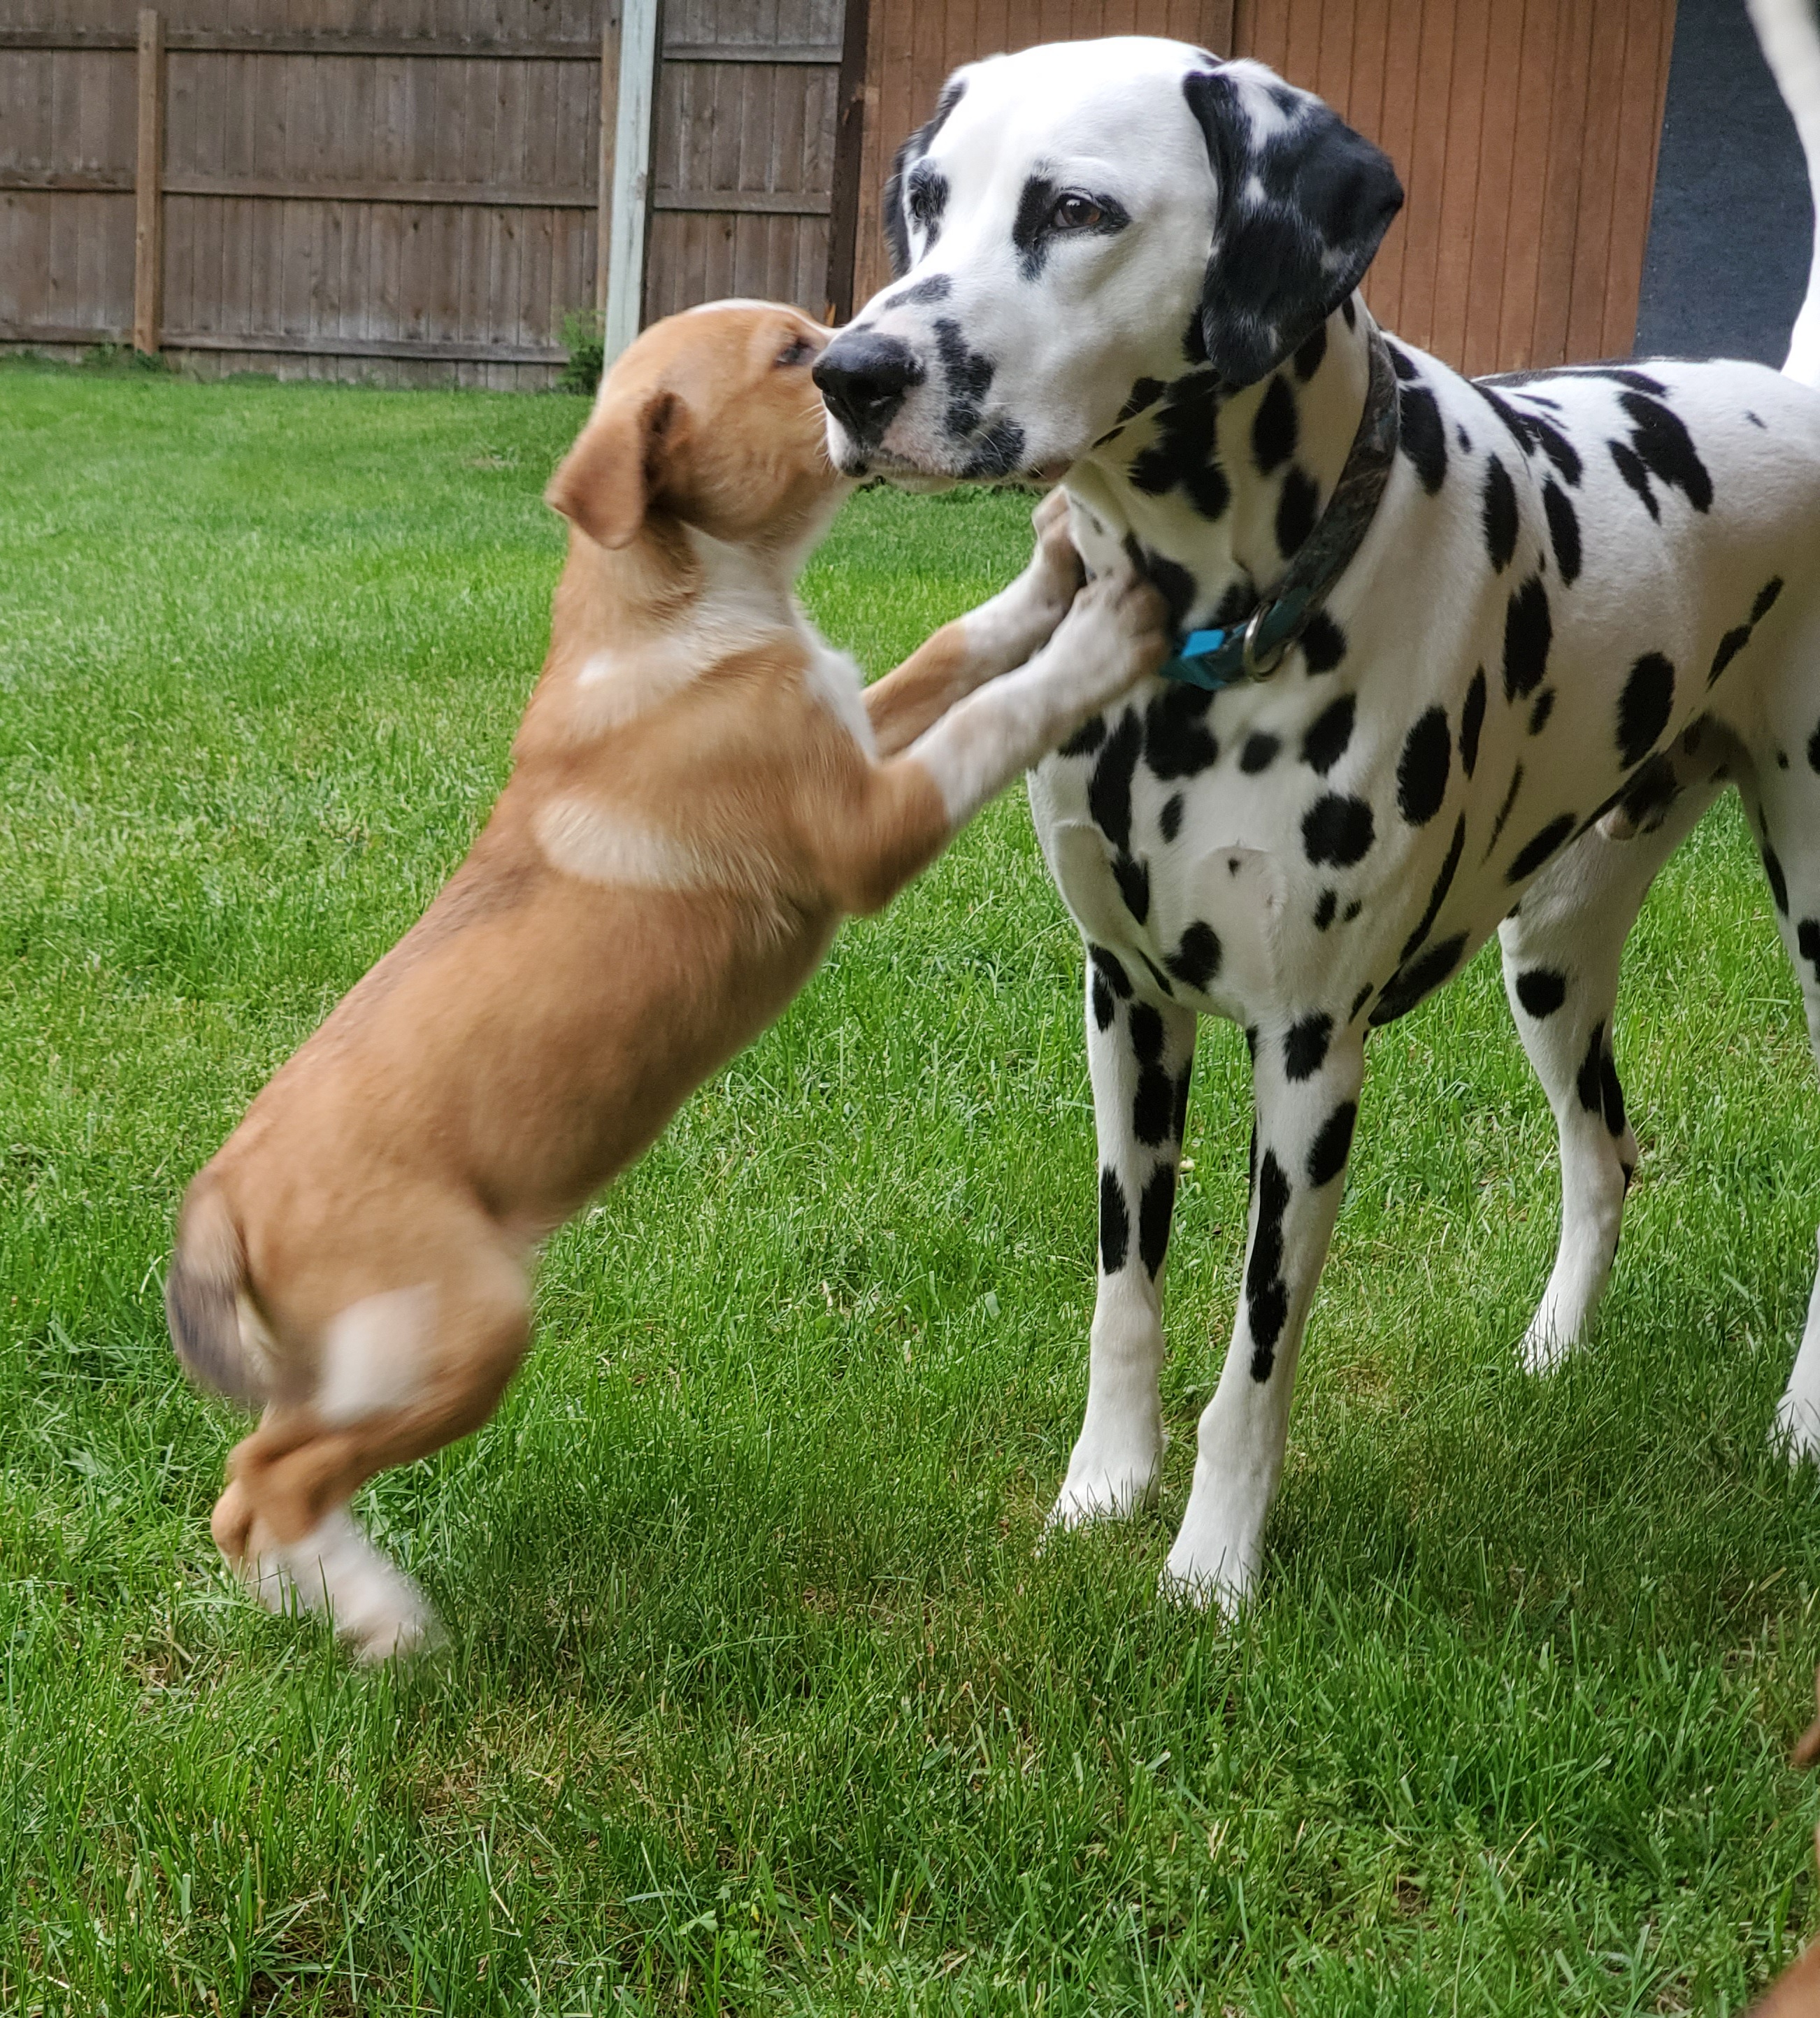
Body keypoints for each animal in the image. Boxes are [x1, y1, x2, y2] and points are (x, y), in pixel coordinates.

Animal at [171, 299, 1170, 1654]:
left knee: (247, 1490)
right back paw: (390, 1619)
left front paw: (1052, 566)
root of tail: (221, 1199)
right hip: (458, 1332)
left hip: (349, 1363)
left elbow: (954, 649)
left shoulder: (855, 724)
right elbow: (996, 711)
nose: (865, 356)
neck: (672, 599)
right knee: (277, 1477)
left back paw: (324, 1604)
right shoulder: (867, 824)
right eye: (793, 357)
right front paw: (1101, 630)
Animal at [815, 20, 1820, 1606]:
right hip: (1548, 955)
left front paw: (1210, 1567)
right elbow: (1124, 1291)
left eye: (1074, 210)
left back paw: (1801, 1418)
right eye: (924, 195)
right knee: (1601, 1154)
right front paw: (1100, 1490)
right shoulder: (1124, 1008)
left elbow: (1253, 1350)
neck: (1193, 653)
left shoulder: (1305, 1057)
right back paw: (1551, 1352)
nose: (845, 373)